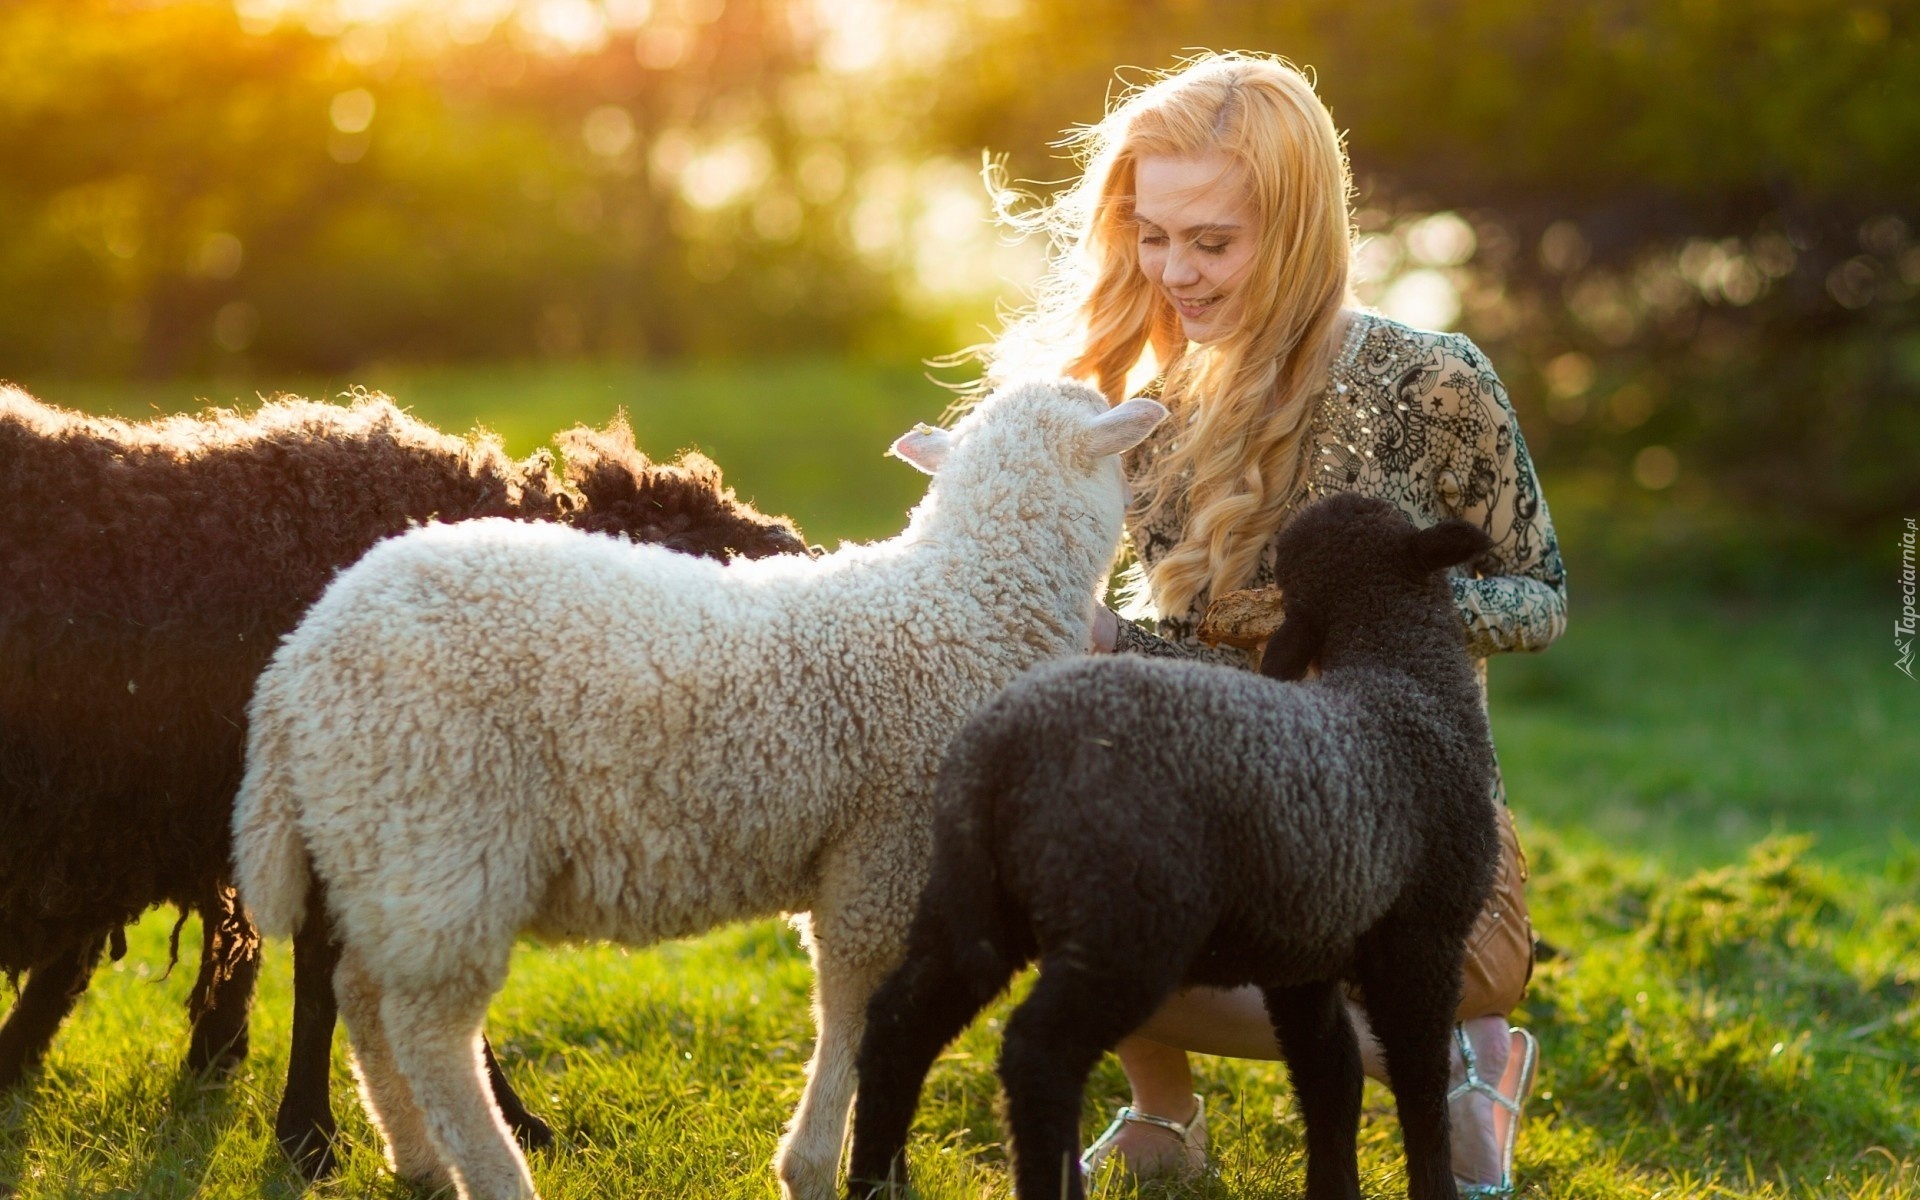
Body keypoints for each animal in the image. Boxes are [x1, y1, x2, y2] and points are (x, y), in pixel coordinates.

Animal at [232, 378, 1159, 1198]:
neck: (969, 600)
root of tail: (294, 668)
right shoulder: (882, 855)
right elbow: (857, 1004)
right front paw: (817, 1169)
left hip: (380, 849)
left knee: (362, 996)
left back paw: (417, 1159)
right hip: (440, 835)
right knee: (427, 1029)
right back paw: (494, 1176)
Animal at [852, 489, 1497, 1198]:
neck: (1406, 675)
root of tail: (1003, 748)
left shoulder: (1305, 951)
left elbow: (1332, 1076)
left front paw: (1333, 1188)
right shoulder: (1424, 936)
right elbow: (1419, 1083)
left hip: (970, 900)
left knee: (897, 1023)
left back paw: (872, 1180)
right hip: (1126, 920)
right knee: (1036, 1053)